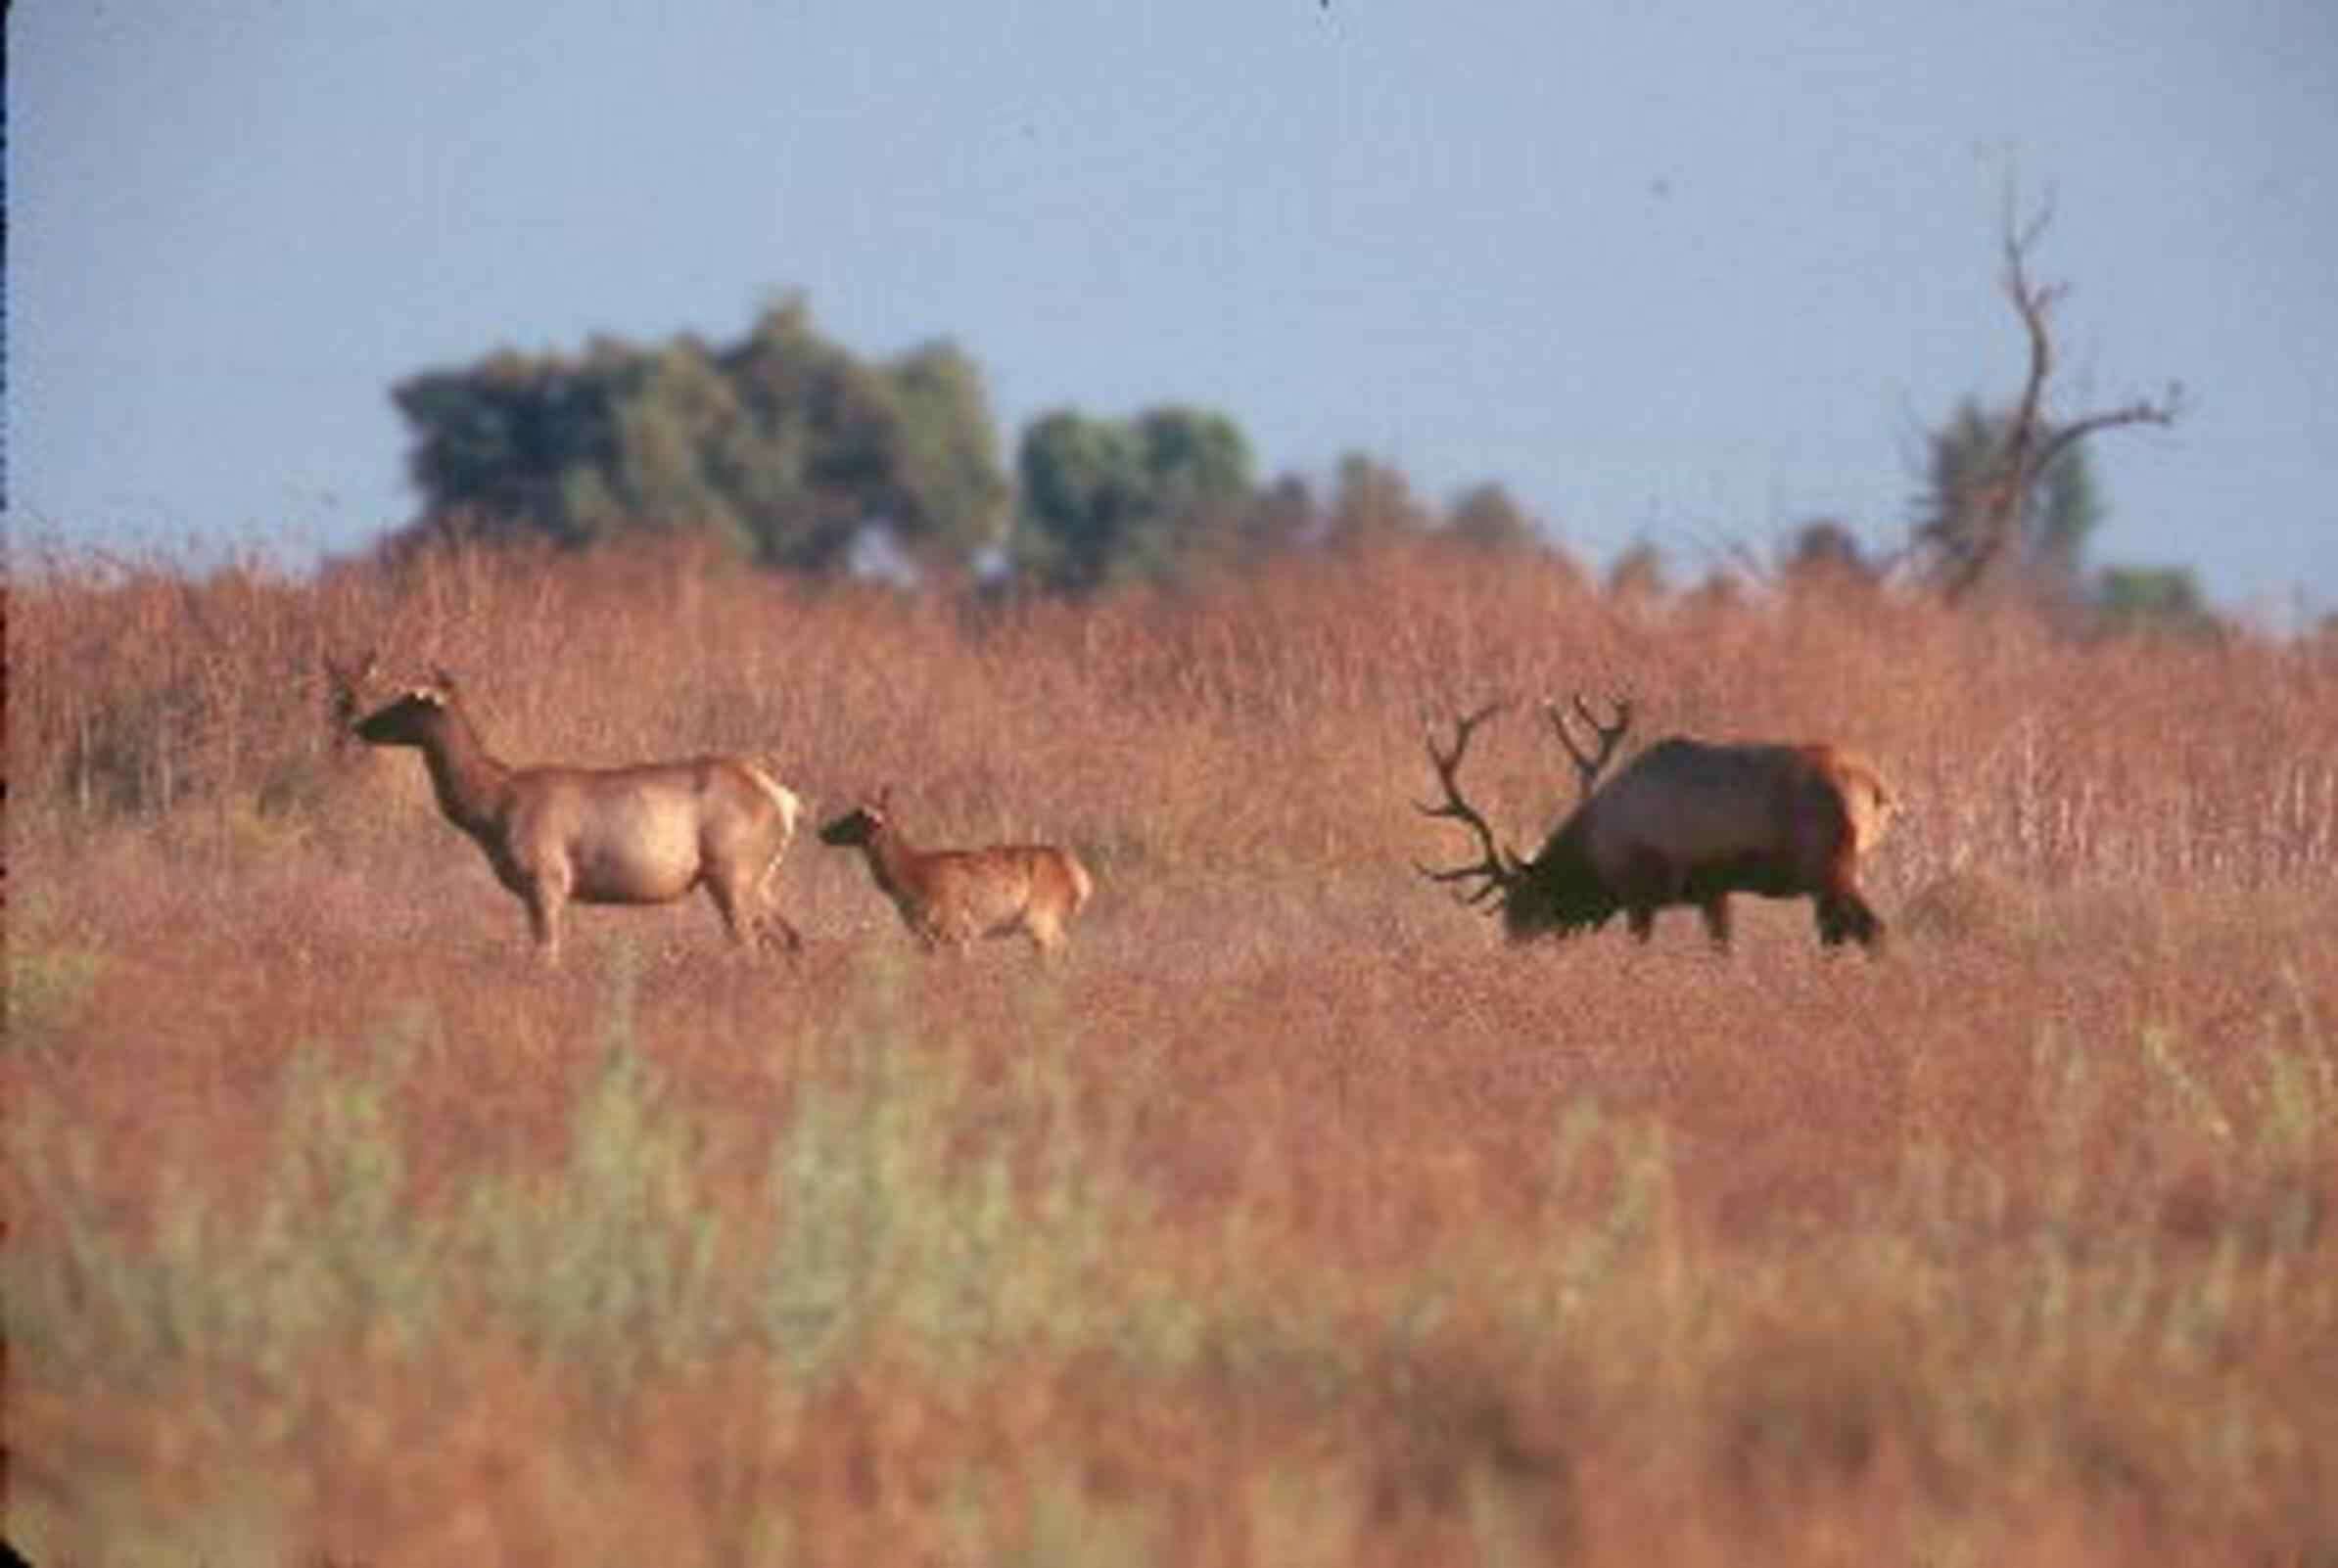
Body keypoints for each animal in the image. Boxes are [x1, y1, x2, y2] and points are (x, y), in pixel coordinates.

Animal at [324, 654, 809, 962]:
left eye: (408, 700)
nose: (361, 725)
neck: (491, 810)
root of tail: (784, 799)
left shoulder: (547, 877)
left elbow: (547, 956)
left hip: (731, 870)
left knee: (749, 944)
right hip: (758, 877)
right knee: (793, 936)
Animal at [822, 785, 1094, 957]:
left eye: (856, 816)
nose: (823, 831)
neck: (906, 880)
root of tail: (1081, 877)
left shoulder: (953, 928)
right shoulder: (931, 936)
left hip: (1042, 916)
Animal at [1402, 701, 1898, 948]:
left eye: (1524, 902)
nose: (1510, 947)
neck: (1597, 853)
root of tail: (1882, 792)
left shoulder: (1639, 893)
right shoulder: (1712, 891)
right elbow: (1722, 950)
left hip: (1832, 869)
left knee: (1875, 932)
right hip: (1829, 880)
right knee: (1837, 937)